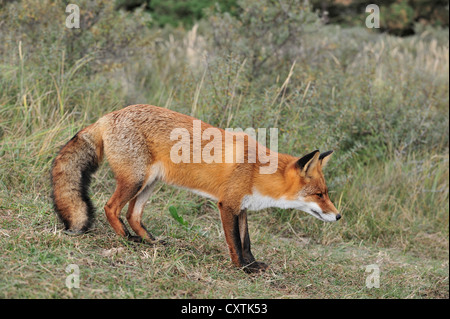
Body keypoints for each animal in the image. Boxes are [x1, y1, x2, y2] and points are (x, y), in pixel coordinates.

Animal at [51, 104, 342, 272]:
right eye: (319, 194)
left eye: (326, 194)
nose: (339, 216)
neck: (257, 170)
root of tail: (107, 116)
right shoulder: (227, 205)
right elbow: (235, 243)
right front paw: (241, 269)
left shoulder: (242, 207)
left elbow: (247, 241)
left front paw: (252, 264)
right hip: (135, 180)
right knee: (111, 208)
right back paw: (128, 240)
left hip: (150, 183)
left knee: (133, 214)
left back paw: (150, 241)